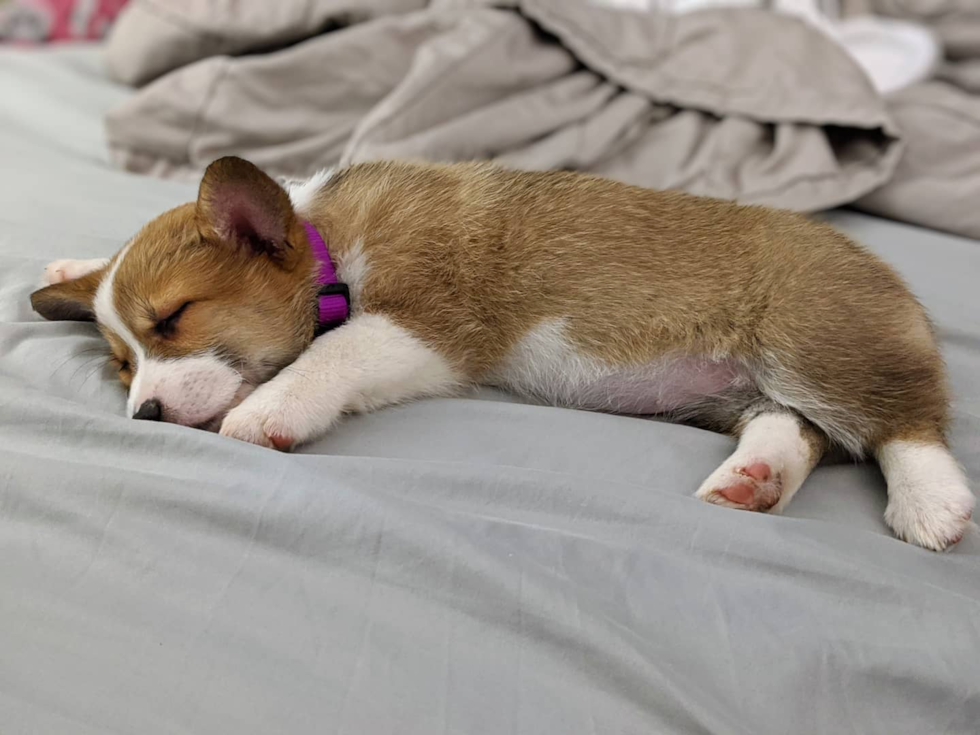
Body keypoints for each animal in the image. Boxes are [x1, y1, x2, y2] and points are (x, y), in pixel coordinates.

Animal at [30, 160, 972, 552]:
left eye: (175, 318)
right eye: (121, 365)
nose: (146, 413)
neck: (331, 247)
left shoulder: (426, 328)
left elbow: (329, 359)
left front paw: (265, 412)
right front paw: (66, 266)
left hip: (817, 339)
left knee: (905, 424)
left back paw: (930, 503)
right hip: (740, 390)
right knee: (797, 428)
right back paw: (753, 481)